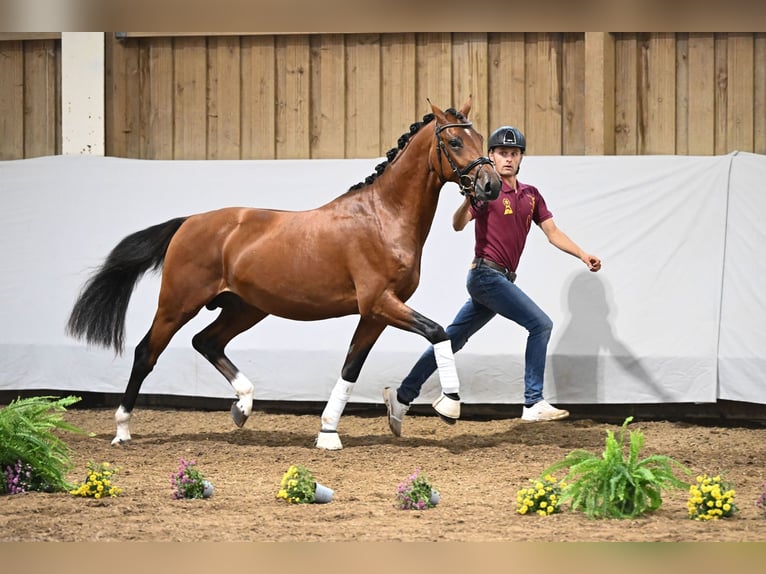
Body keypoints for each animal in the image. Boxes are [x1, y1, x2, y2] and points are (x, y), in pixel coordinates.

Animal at [67, 98, 504, 450]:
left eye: (480, 137)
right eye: (454, 142)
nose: (492, 185)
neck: (383, 217)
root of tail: (188, 222)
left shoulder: (374, 314)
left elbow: (351, 366)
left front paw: (328, 433)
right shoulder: (381, 303)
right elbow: (438, 332)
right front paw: (450, 405)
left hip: (245, 308)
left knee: (206, 341)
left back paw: (243, 406)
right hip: (178, 304)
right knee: (147, 353)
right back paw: (123, 430)